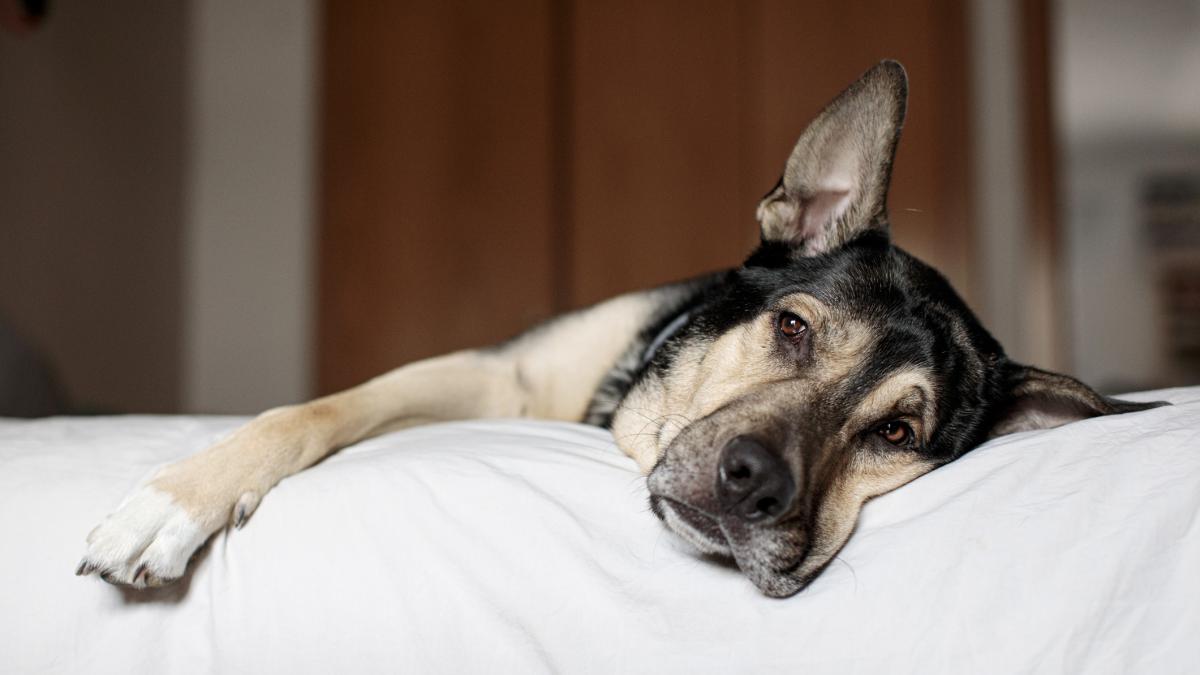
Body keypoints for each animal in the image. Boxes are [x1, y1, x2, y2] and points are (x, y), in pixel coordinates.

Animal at [77, 61, 1161, 593]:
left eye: (897, 431)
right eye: (794, 328)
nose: (753, 486)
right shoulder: (494, 380)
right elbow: (317, 410)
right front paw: (172, 502)